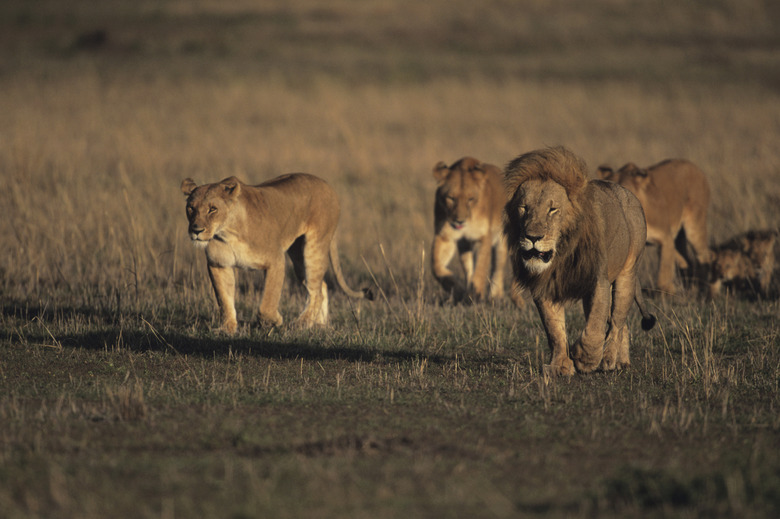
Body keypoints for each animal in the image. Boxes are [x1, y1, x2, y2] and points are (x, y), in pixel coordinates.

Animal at [180, 173, 372, 336]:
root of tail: (327, 185)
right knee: (321, 286)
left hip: (314, 248)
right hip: (298, 257)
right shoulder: (219, 265)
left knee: (315, 290)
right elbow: (224, 300)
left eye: (212, 209)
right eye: (190, 208)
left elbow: (268, 301)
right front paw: (227, 329)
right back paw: (319, 324)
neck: (227, 232)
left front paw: (273, 321)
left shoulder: (275, 260)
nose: (196, 230)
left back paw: (300, 324)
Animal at [430, 157, 520, 304]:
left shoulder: (482, 238)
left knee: (498, 268)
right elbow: (436, 267)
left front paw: (477, 294)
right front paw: (457, 289)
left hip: (501, 242)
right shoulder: (445, 236)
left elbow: (481, 268)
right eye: (451, 198)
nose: (459, 221)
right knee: (468, 268)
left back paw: (495, 295)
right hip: (464, 246)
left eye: (470, 199)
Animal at [502, 146, 656, 378]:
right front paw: (560, 366)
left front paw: (584, 358)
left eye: (552, 209)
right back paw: (622, 361)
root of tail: (628, 192)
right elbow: (554, 330)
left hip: (627, 275)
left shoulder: (598, 280)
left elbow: (595, 326)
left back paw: (609, 359)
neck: (562, 253)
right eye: (524, 208)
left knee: (617, 321)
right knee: (620, 325)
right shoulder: (546, 285)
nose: (533, 237)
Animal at [596, 158, 712, 296]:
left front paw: (666, 292)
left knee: (705, 256)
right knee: (686, 259)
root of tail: (694, 166)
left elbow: (664, 270)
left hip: (694, 227)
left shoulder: (665, 237)